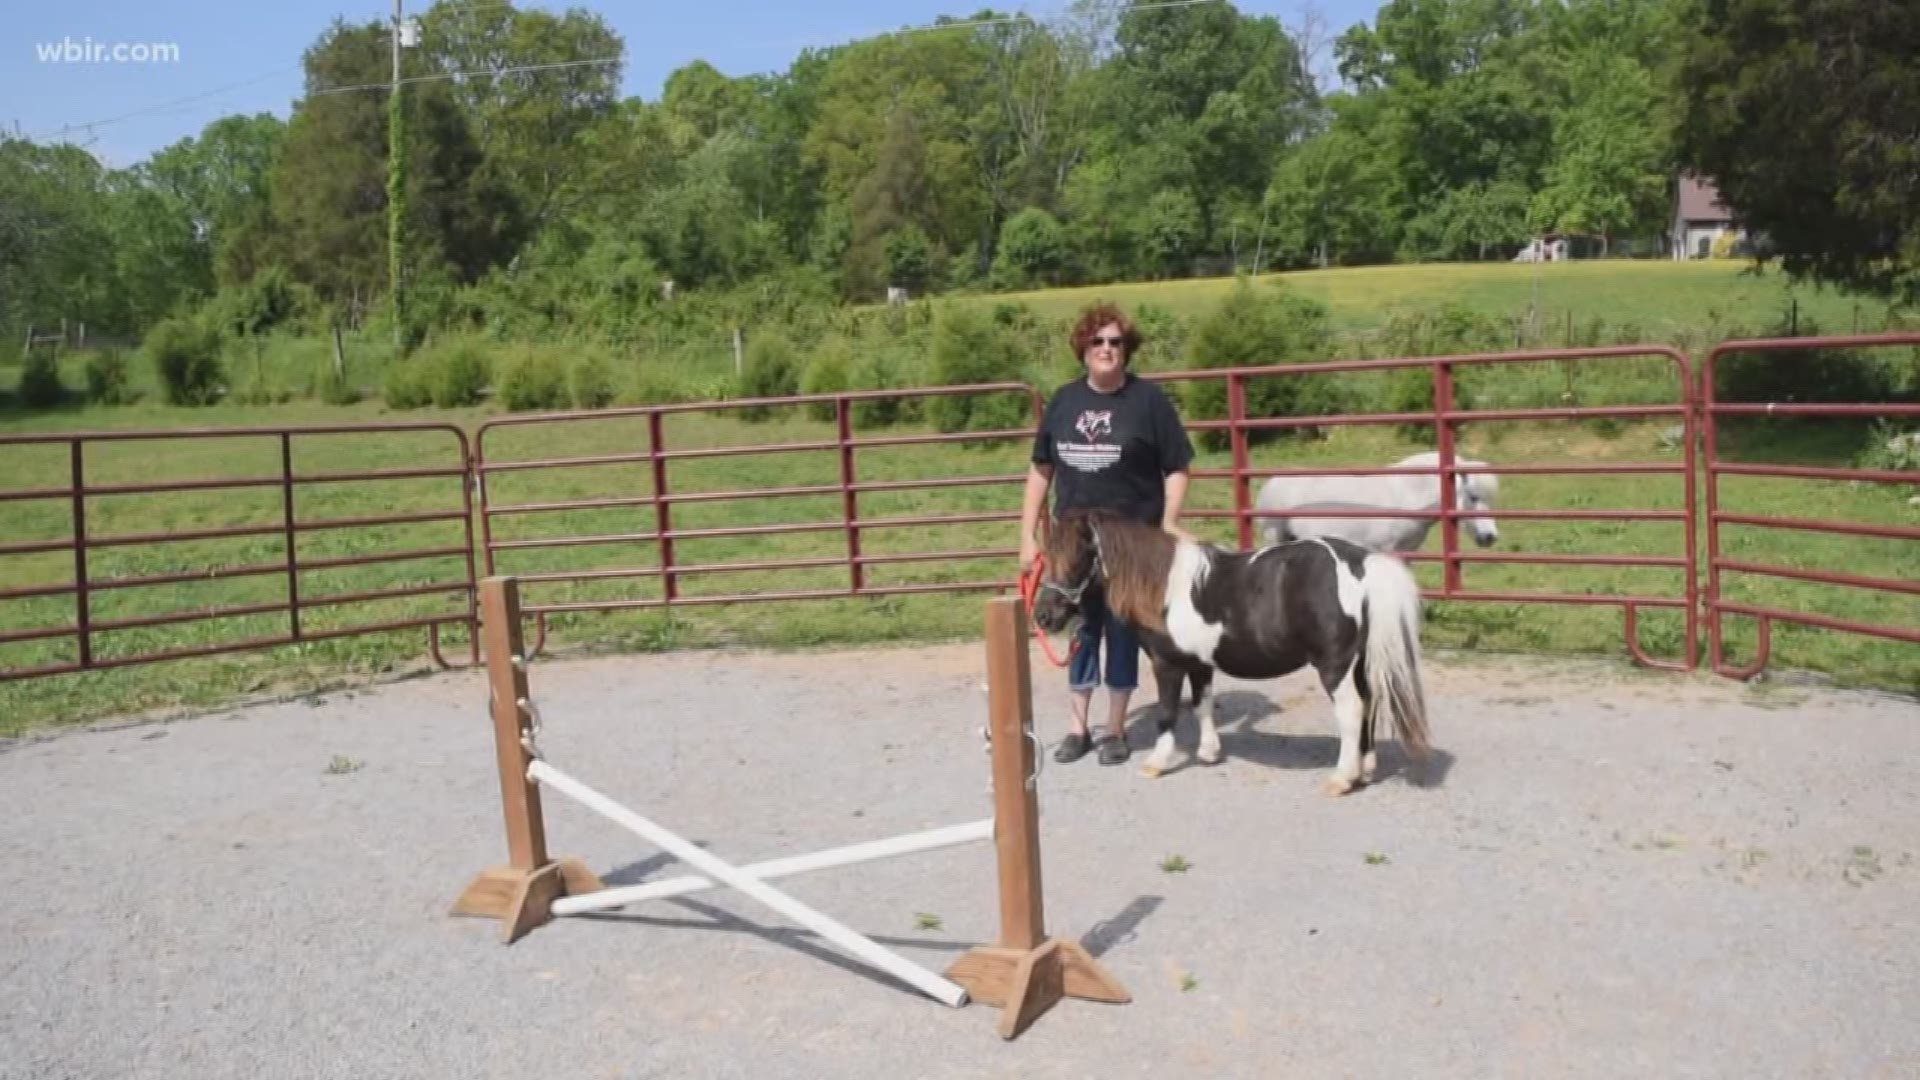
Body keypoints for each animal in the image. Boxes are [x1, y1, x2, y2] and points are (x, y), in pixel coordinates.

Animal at [1036, 503, 1428, 791]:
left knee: (1352, 711)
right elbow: (1202, 705)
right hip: (1359, 662)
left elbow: (1167, 713)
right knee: (1371, 704)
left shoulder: (1167, 663)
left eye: (1078, 556)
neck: (1164, 588)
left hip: (1336, 665)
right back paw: (1366, 769)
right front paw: (1209, 753)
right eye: (1046, 555)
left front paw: (1156, 763)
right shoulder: (1199, 664)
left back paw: (1342, 778)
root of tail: (1360, 563)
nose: (1043, 616)